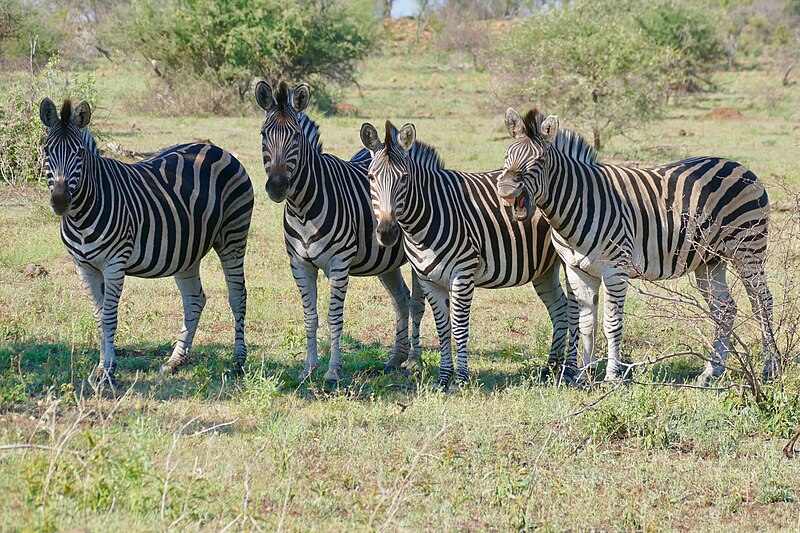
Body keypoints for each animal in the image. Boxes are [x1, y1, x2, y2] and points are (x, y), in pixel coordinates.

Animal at [39, 96, 253, 386]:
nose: (60, 202)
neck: (81, 214)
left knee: (237, 295)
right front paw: (101, 368)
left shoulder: (115, 263)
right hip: (187, 250)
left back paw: (238, 362)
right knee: (195, 300)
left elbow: (109, 317)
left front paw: (108, 371)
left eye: (79, 153)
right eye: (47, 151)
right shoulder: (83, 266)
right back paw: (175, 361)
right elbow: (98, 317)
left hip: (233, 237)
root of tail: (218, 149)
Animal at [258, 80, 428, 382]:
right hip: (386, 261)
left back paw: (414, 361)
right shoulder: (299, 264)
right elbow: (310, 316)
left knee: (417, 303)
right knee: (402, 300)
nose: (277, 187)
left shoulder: (338, 263)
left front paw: (333, 371)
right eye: (264, 135)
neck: (303, 207)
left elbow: (334, 317)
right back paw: (395, 359)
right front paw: (308, 368)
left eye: (296, 136)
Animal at [360, 120, 576, 386]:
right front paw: (443, 377)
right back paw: (551, 367)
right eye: (370, 177)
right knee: (560, 308)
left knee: (577, 310)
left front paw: (461, 378)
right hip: (544, 267)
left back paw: (572, 369)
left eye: (404, 178)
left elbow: (459, 327)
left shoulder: (462, 274)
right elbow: (443, 328)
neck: (426, 217)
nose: (387, 233)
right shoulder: (428, 279)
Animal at [496, 107, 780, 382]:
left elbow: (611, 324)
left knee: (762, 302)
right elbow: (586, 324)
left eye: (539, 162)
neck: (578, 201)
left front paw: (612, 376)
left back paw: (770, 368)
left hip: (747, 248)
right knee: (725, 308)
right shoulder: (577, 270)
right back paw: (713, 370)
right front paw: (582, 375)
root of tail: (740, 166)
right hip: (710, 259)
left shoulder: (614, 270)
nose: (506, 188)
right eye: (507, 157)